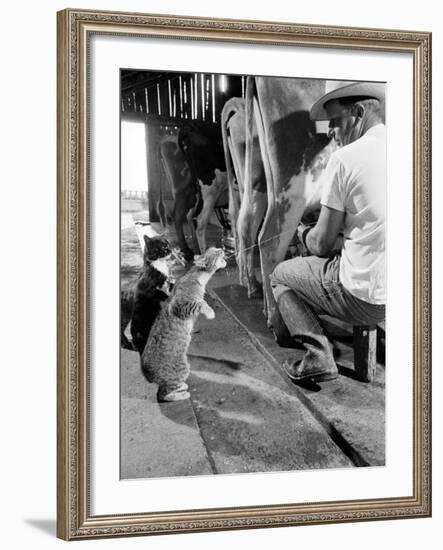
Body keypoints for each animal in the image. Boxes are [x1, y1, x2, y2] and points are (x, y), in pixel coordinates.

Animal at [141, 248, 227, 404]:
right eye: (216, 251)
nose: (222, 249)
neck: (197, 276)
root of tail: (147, 375)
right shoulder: (180, 305)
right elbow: (200, 303)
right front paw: (210, 312)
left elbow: (201, 302)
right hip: (182, 369)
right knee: (164, 395)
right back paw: (182, 394)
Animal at [180, 121, 231, 254]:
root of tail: (190, 126)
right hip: (211, 189)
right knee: (201, 222)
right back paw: (204, 254)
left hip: (198, 190)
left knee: (189, 215)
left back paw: (196, 249)